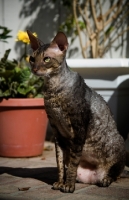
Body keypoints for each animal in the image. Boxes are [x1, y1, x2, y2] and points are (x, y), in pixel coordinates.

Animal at [26, 30, 127, 193]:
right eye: (32, 58)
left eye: (46, 59)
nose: (34, 69)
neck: (53, 90)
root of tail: (93, 177)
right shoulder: (56, 130)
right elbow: (60, 162)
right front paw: (61, 182)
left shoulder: (79, 128)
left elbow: (73, 162)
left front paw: (68, 186)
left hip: (118, 144)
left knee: (116, 172)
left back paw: (105, 179)